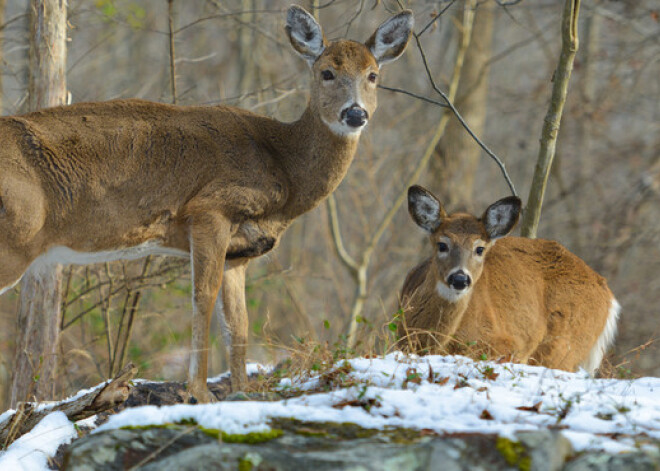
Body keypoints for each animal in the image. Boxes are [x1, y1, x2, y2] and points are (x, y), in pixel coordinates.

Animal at [0, 4, 412, 402]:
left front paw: (243, 390)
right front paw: (199, 392)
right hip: (13, 243)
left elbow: (237, 324)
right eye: (326, 72)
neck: (284, 167)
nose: (355, 113)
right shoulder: (210, 208)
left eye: (373, 75)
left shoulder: (239, 252)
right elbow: (203, 299)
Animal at [398, 186, 620, 374]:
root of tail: (607, 293)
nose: (460, 278)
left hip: (563, 347)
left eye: (480, 248)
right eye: (442, 245)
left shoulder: (505, 345)